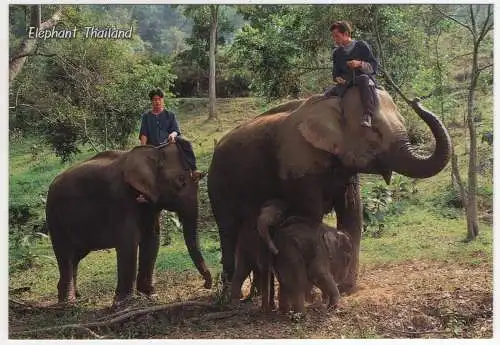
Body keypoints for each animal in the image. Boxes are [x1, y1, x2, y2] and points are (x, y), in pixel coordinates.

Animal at [44, 137, 213, 304]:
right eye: (181, 181)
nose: (206, 284)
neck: (155, 150)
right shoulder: (121, 200)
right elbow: (129, 243)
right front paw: (124, 301)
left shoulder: (149, 206)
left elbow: (152, 241)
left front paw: (150, 295)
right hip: (54, 218)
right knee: (65, 254)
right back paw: (68, 301)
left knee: (76, 256)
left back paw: (76, 296)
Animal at [208, 87, 454, 294]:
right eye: (374, 131)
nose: (416, 100)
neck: (334, 103)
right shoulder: (298, 163)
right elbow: (311, 216)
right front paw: (318, 289)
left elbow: (352, 214)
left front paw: (347, 288)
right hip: (217, 184)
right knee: (227, 230)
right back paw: (228, 295)